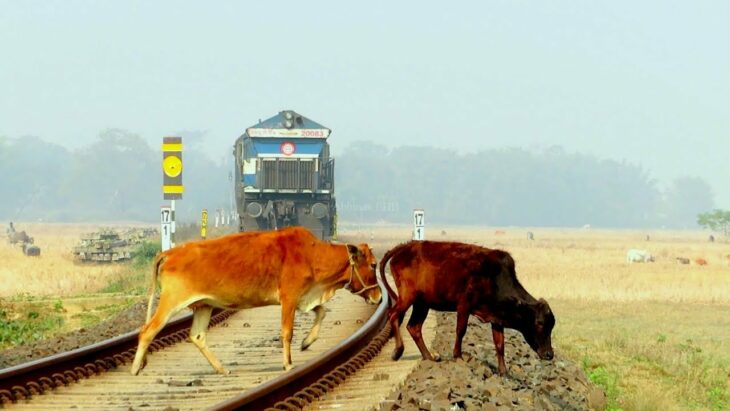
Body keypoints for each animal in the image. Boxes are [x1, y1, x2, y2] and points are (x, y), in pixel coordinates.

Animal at [131, 227, 382, 374]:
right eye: (373, 265)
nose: (379, 296)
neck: (313, 254)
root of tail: (169, 253)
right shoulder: (289, 298)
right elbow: (287, 332)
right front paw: (288, 363)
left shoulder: (304, 297)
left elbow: (322, 312)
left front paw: (307, 342)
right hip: (171, 302)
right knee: (147, 330)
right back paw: (135, 368)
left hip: (204, 305)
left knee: (197, 336)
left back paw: (222, 369)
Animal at [378, 241, 556, 376]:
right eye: (539, 323)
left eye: (551, 325)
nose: (549, 354)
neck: (494, 278)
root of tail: (407, 245)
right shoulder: (464, 305)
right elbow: (460, 330)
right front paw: (458, 356)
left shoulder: (496, 318)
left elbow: (500, 344)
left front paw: (504, 372)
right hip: (407, 297)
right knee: (393, 315)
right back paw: (398, 351)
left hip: (422, 304)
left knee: (413, 327)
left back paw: (429, 356)